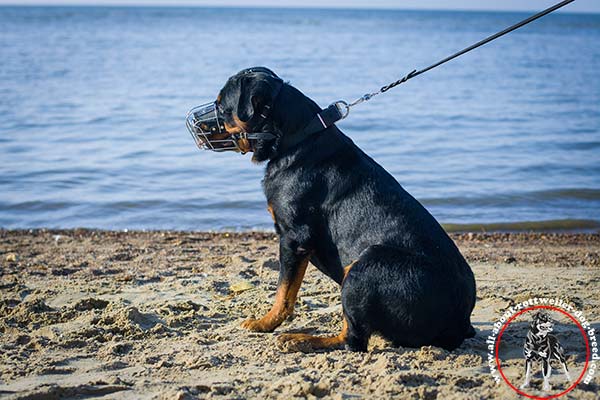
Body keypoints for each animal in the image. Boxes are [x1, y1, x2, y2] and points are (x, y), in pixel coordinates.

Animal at [214, 67, 474, 352]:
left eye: (221, 106)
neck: (296, 138)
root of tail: (460, 320)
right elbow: (289, 290)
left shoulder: (294, 238)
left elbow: (283, 291)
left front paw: (265, 323)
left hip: (366, 265)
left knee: (353, 340)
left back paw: (303, 340)